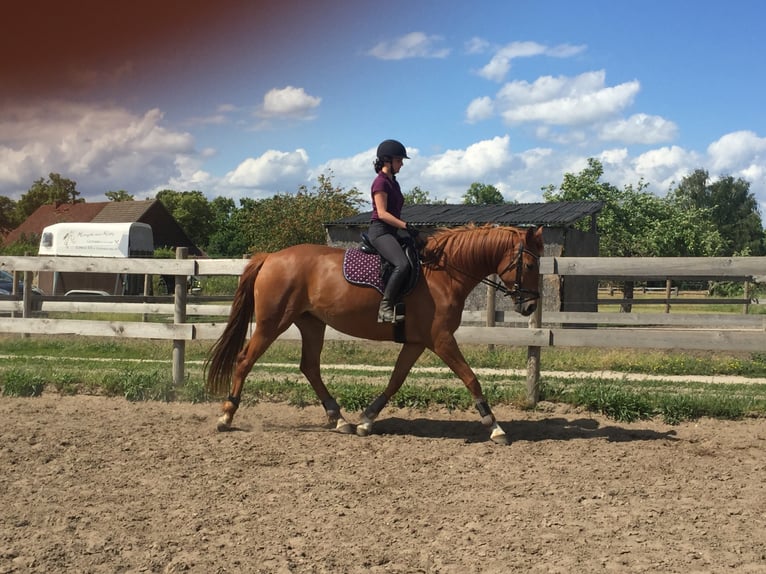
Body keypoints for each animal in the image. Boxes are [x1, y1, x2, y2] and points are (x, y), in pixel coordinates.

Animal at [207, 225, 544, 446]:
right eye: (529, 264)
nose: (530, 305)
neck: (444, 274)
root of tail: (271, 257)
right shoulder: (441, 339)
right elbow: (471, 377)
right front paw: (495, 426)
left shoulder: (417, 342)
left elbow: (396, 380)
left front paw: (367, 420)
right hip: (272, 322)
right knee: (245, 360)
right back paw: (226, 416)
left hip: (311, 324)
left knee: (309, 367)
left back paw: (340, 419)